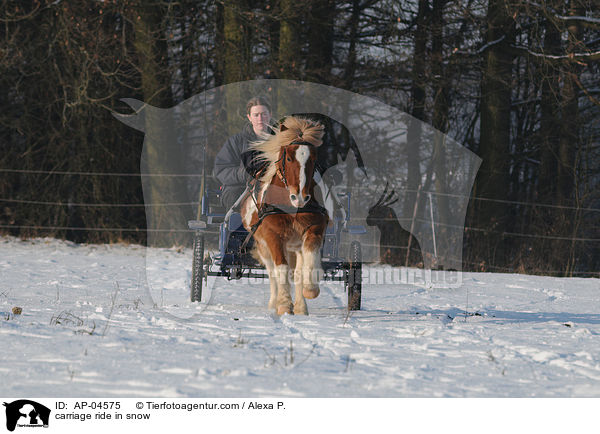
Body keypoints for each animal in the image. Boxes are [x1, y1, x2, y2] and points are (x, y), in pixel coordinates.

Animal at [241, 117, 330, 316]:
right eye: (288, 158)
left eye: (313, 159)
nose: (300, 197)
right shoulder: (273, 236)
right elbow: (280, 269)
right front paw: (283, 304)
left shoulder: (314, 229)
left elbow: (308, 261)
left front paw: (310, 289)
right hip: (263, 245)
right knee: (273, 272)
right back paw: (274, 302)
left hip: (294, 246)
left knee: (296, 271)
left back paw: (301, 306)